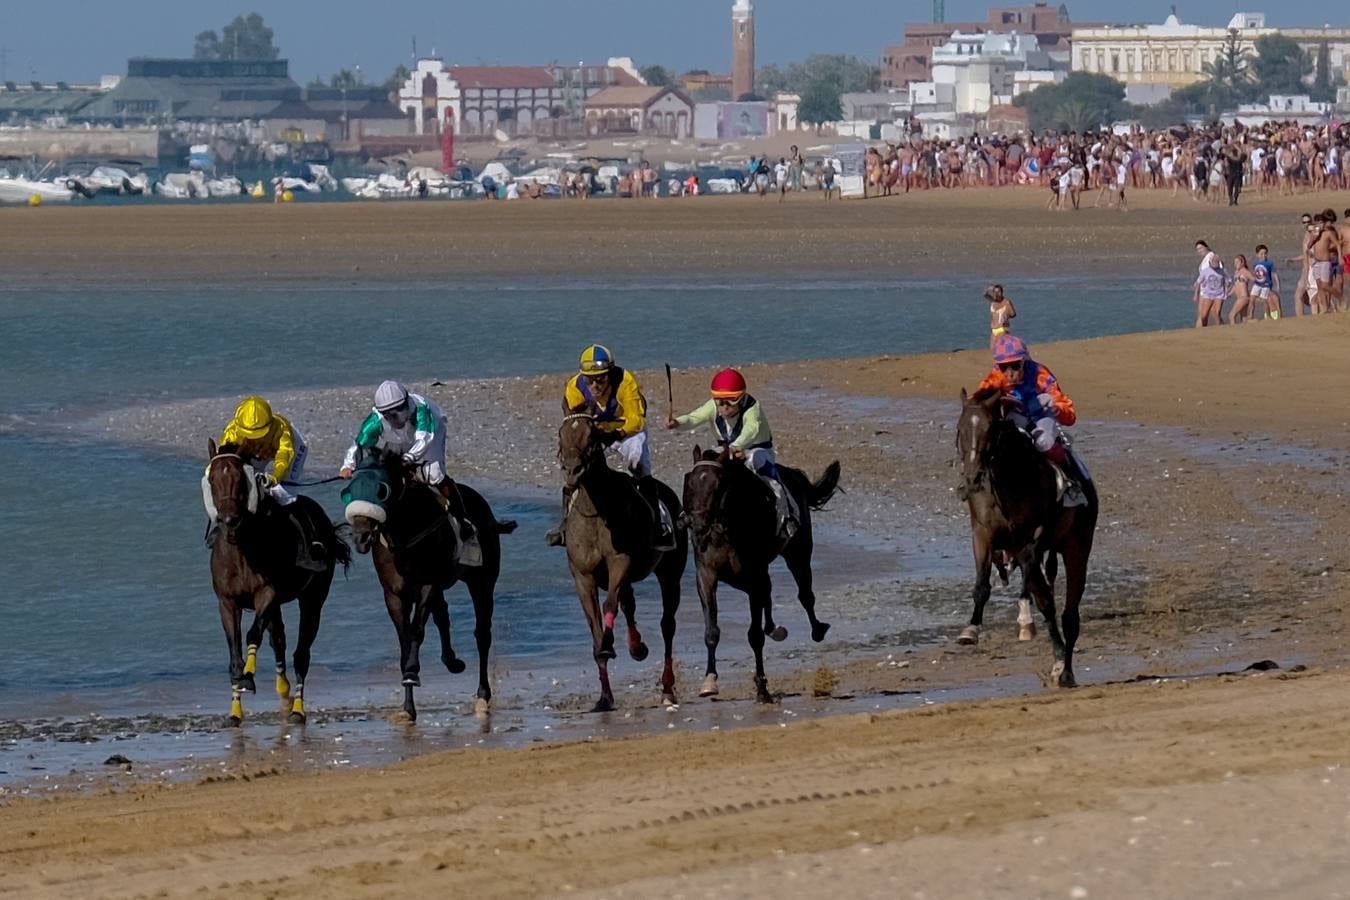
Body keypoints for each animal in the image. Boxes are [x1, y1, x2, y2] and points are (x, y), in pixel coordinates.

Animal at [205, 439, 351, 728]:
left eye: (239, 479)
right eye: (213, 479)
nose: (229, 520)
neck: (242, 549)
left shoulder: (267, 593)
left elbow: (253, 635)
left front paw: (248, 676)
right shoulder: (227, 602)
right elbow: (235, 653)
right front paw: (235, 709)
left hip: (313, 598)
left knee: (301, 653)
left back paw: (297, 709)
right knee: (280, 640)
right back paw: (283, 691)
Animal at [342, 453, 515, 723]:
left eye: (382, 490)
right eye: (349, 490)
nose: (360, 537)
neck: (405, 535)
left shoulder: (426, 584)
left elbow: (415, 632)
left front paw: (412, 674)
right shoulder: (394, 594)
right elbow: (405, 639)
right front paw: (407, 707)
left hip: (482, 581)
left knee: (482, 634)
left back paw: (482, 695)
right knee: (443, 614)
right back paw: (452, 661)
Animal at [556, 415, 685, 712]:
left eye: (591, 437)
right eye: (561, 435)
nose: (572, 470)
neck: (596, 512)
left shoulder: (620, 563)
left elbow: (609, 606)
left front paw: (609, 643)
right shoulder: (583, 576)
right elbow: (595, 625)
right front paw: (604, 697)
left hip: (670, 573)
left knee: (667, 625)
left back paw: (667, 688)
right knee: (630, 604)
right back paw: (636, 646)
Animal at [680, 447, 837, 701]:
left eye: (718, 484)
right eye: (690, 482)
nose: (698, 524)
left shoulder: (754, 575)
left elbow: (754, 635)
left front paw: (762, 688)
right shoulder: (706, 573)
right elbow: (711, 630)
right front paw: (709, 681)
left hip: (798, 552)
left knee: (805, 594)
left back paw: (816, 629)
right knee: (769, 593)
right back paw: (775, 628)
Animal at [955, 388, 1101, 690]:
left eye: (989, 430)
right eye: (960, 430)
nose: (972, 478)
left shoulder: (1031, 541)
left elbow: (1040, 591)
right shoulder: (982, 533)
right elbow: (982, 585)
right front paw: (970, 630)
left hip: (1077, 545)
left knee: (1069, 615)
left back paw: (1066, 671)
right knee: (1046, 600)